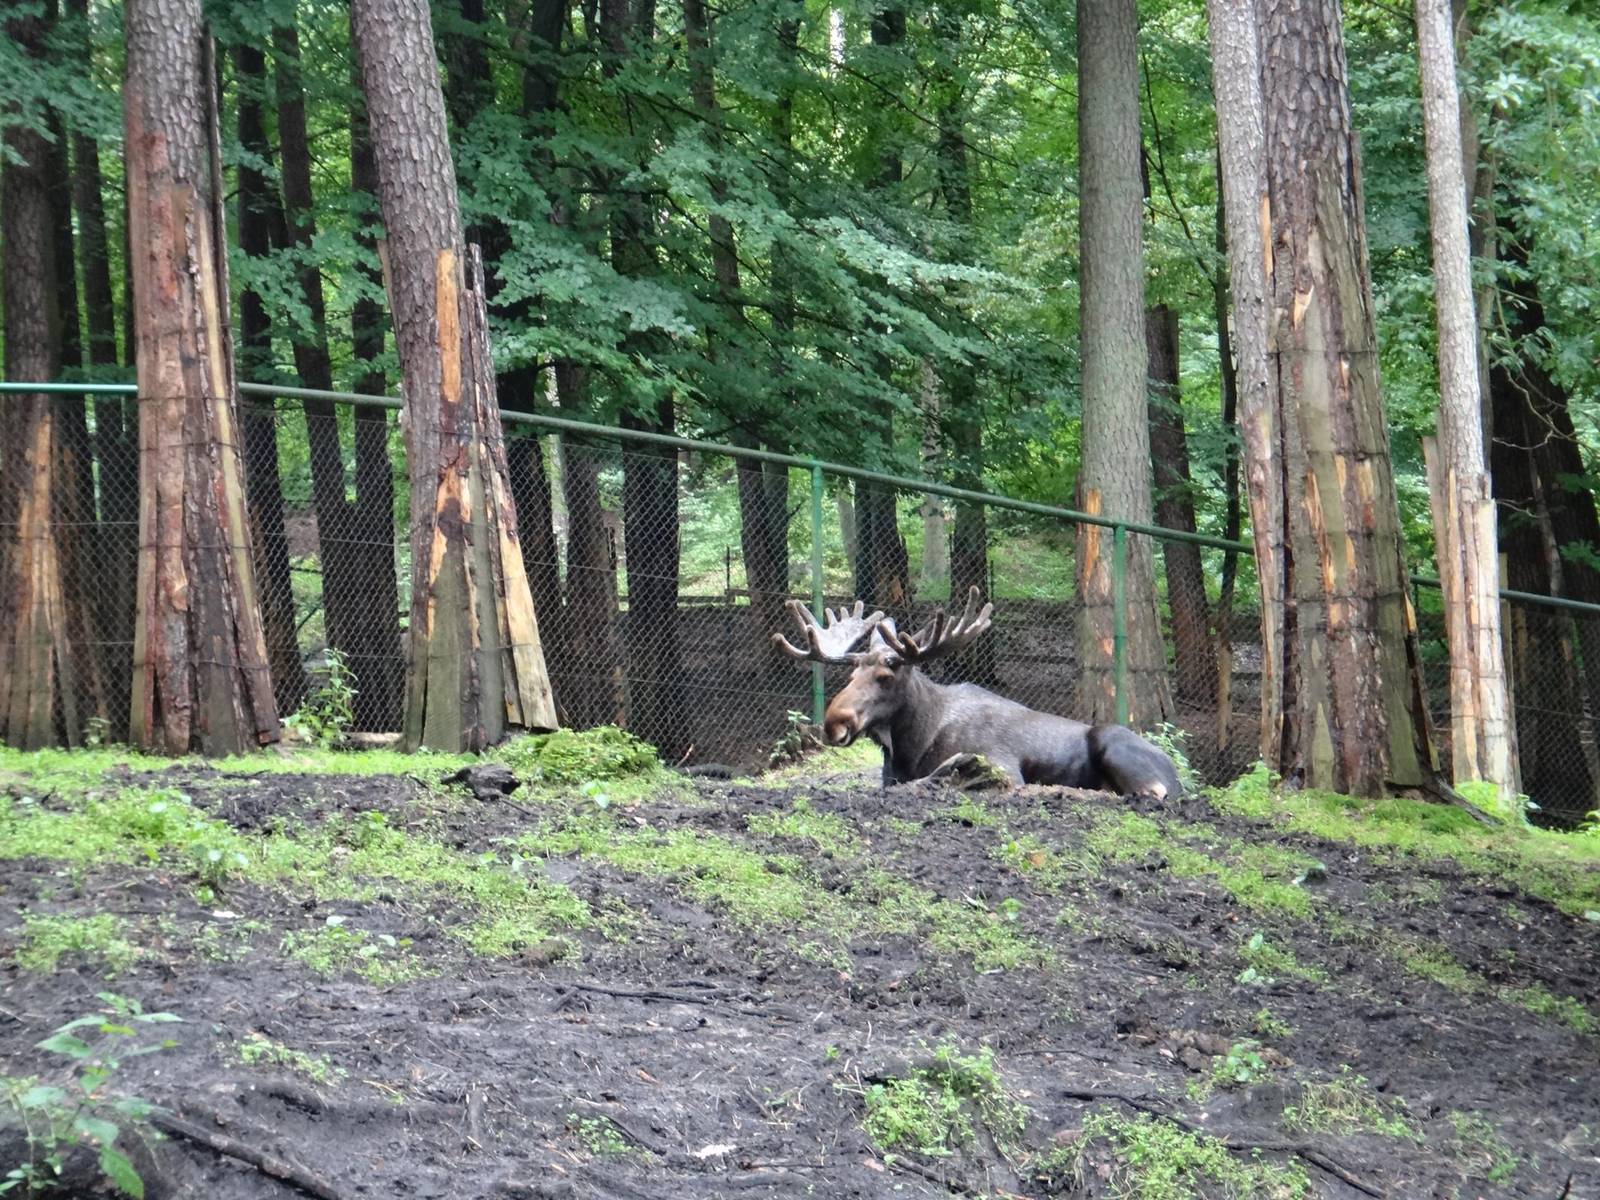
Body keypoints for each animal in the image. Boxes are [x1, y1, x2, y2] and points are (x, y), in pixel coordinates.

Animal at [773, 588, 1183, 798]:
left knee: (1146, 793)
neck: (912, 742)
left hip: (1113, 741)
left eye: (887, 674)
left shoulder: (1004, 766)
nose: (834, 722)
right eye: (853, 671)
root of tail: (1179, 779)